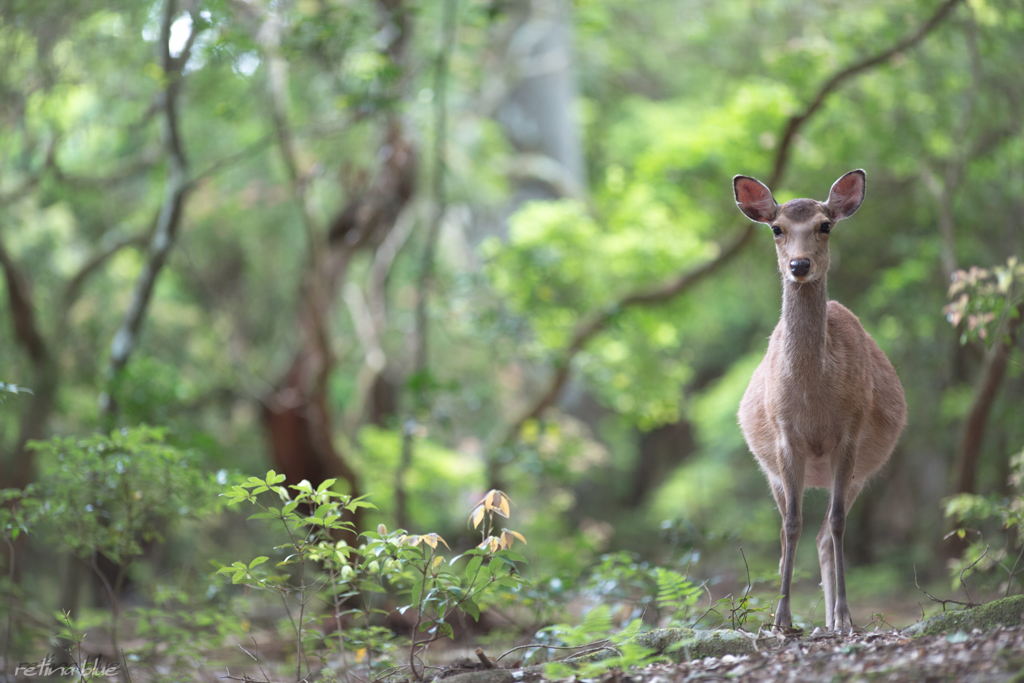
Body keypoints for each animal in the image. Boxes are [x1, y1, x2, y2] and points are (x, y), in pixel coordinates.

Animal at [733, 172, 909, 634]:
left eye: (824, 225)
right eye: (776, 228)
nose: (799, 265)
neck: (814, 399)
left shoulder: (850, 432)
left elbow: (837, 523)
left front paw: (844, 616)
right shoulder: (783, 437)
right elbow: (793, 523)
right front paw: (781, 619)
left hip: (859, 473)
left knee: (826, 534)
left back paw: (832, 619)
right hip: (772, 473)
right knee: (787, 530)